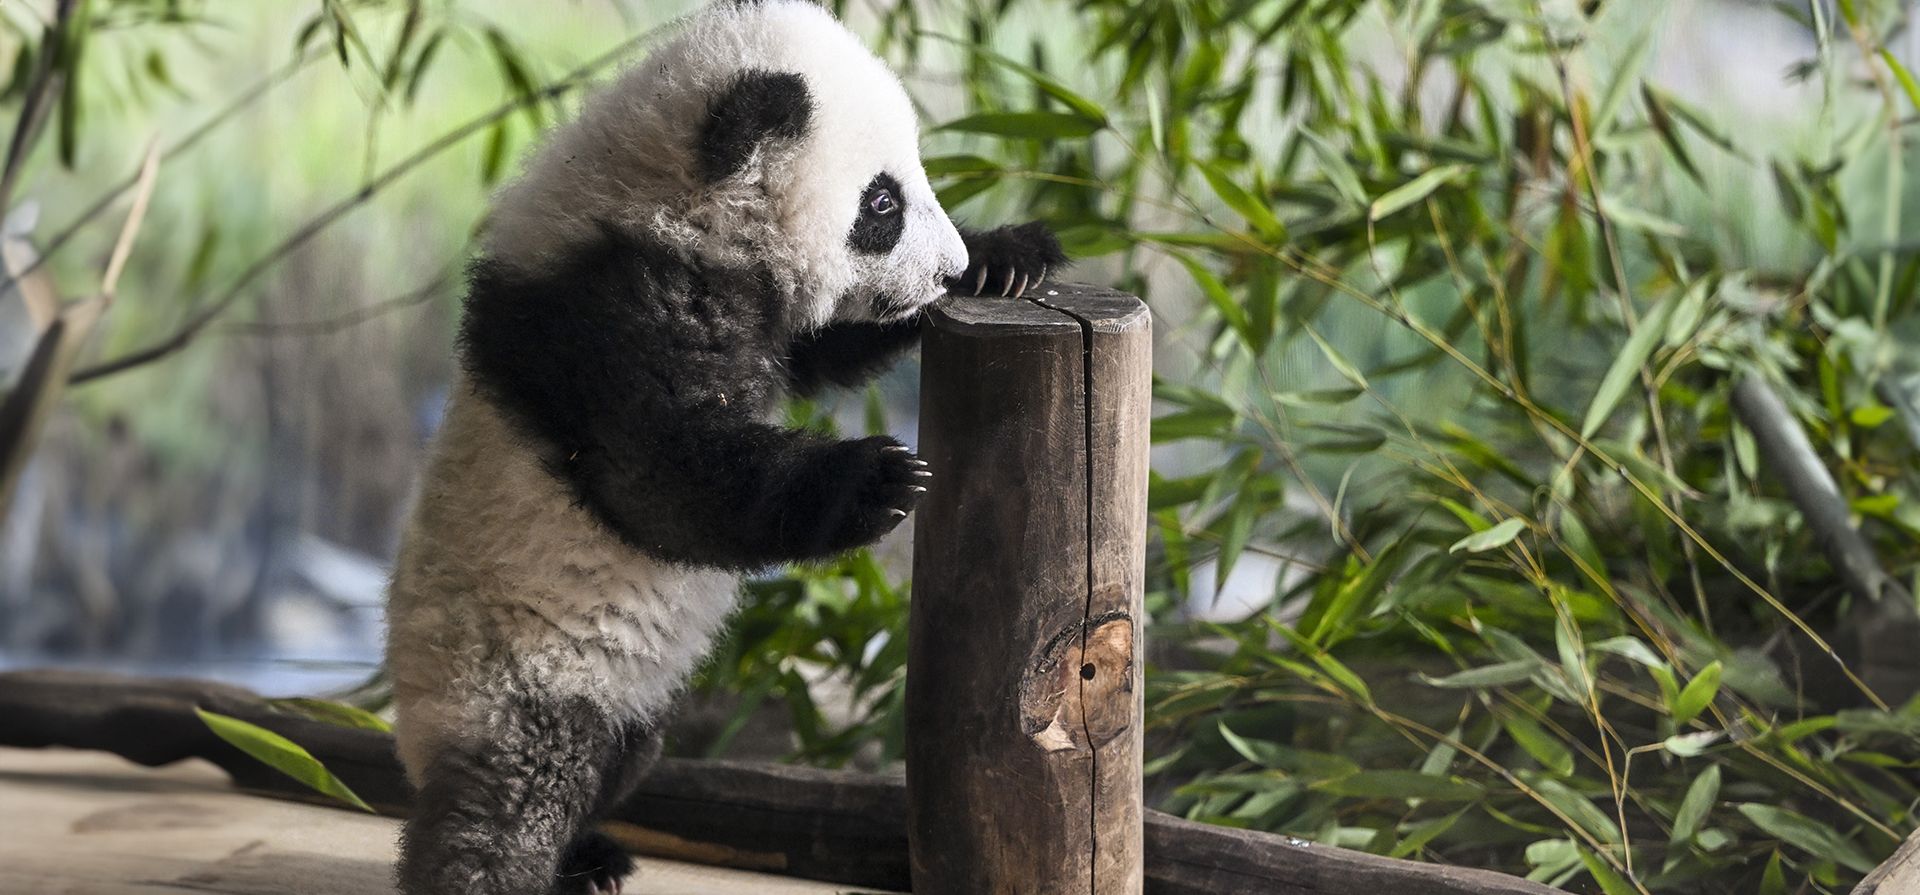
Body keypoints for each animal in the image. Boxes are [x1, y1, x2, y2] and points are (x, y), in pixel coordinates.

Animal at [381, 1, 1065, 893]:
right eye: (882, 204)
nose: (945, 269)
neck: (662, 201)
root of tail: (415, 734)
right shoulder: (608, 318)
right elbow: (663, 476)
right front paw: (877, 480)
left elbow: (827, 346)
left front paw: (1009, 258)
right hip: (514, 679)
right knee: (508, 804)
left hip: (625, 702)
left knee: (620, 761)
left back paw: (589, 856)